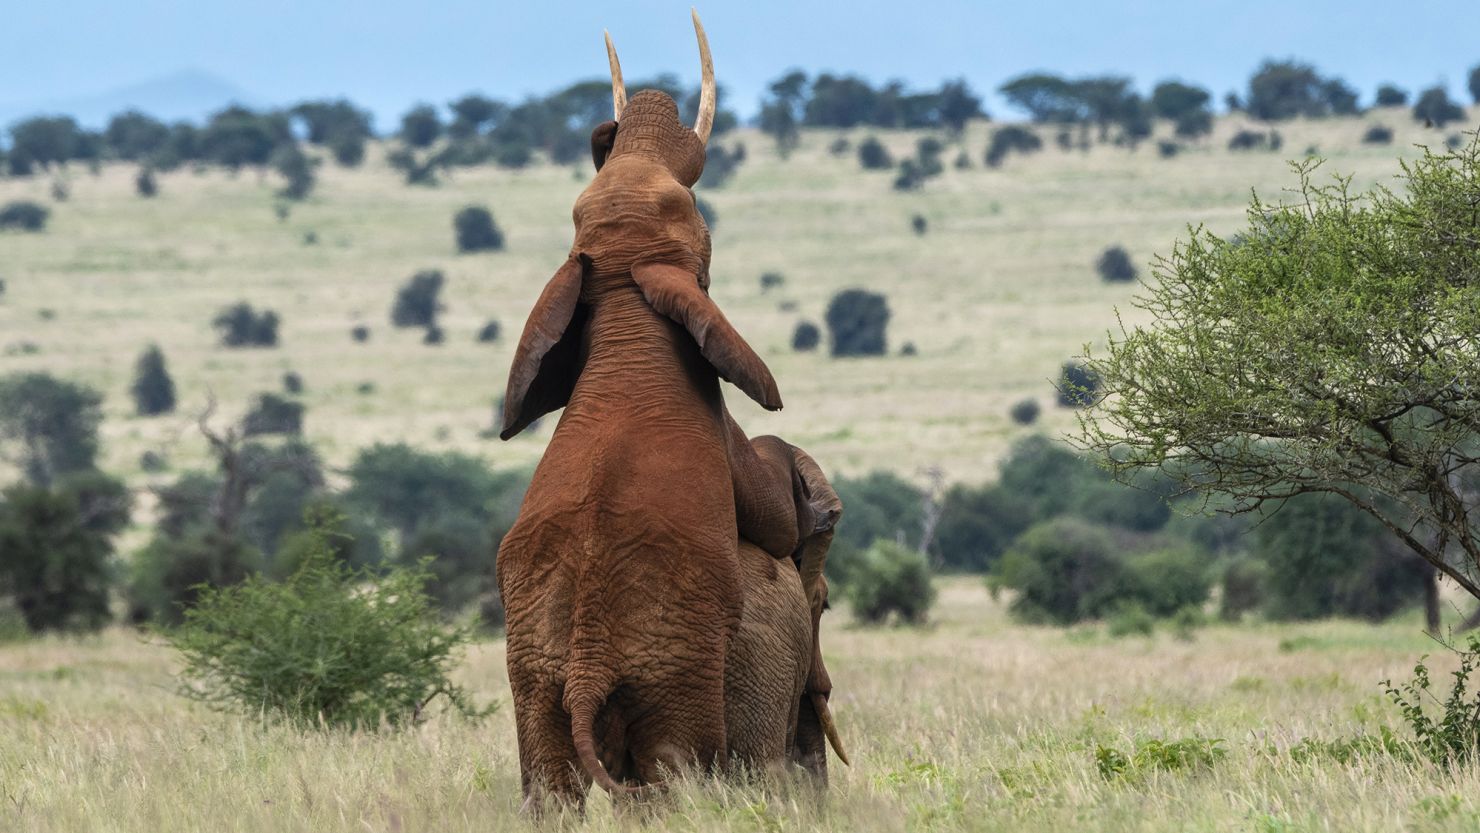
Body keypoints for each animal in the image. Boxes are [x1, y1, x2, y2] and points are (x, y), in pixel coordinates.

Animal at [494, 13, 844, 809]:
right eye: (694, 219)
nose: (618, 123)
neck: (628, 318)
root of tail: (587, 666)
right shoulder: (721, 430)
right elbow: (775, 517)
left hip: (532, 671)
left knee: (549, 786)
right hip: (676, 671)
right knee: (673, 772)